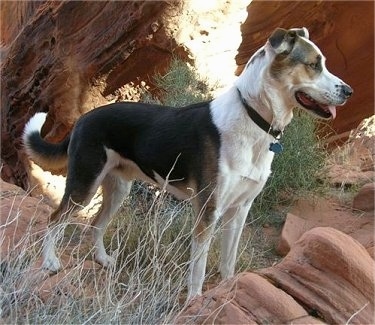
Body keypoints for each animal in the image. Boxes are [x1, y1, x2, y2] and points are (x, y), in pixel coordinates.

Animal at [22, 27, 352, 298]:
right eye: (313, 64)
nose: (349, 91)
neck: (253, 118)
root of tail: (84, 118)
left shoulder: (239, 210)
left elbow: (228, 262)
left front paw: (228, 290)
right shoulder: (208, 212)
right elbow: (199, 268)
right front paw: (194, 300)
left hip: (117, 188)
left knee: (96, 224)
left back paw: (103, 260)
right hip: (85, 183)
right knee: (55, 219)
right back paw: (50, 261)